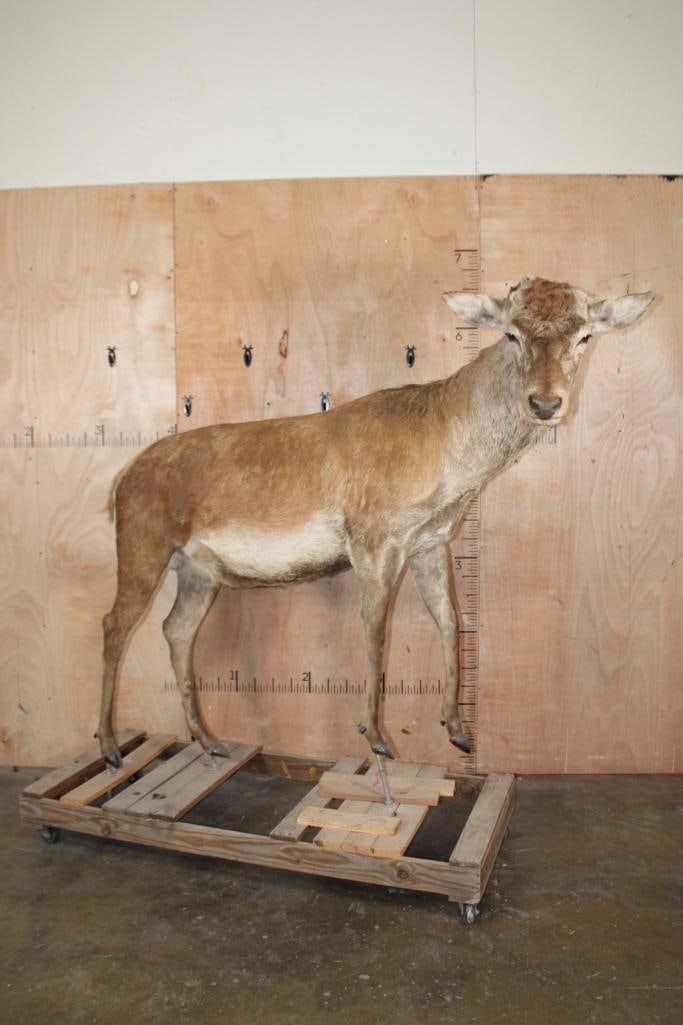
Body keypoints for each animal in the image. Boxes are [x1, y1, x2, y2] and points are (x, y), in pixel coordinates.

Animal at [97, 276, 655, 769]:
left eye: (585, 334)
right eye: (511, 332)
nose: (545, 403)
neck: (446, 459)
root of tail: (121, 481)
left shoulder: (430, 543)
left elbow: (451, 620)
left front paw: (456, 730)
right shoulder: (373, 541)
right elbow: (375, 631)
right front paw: (378, 739)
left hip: (199, 572)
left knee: (176, 629)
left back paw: (210, 742)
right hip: (142, 548)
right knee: (115, 624)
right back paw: (109, 748)